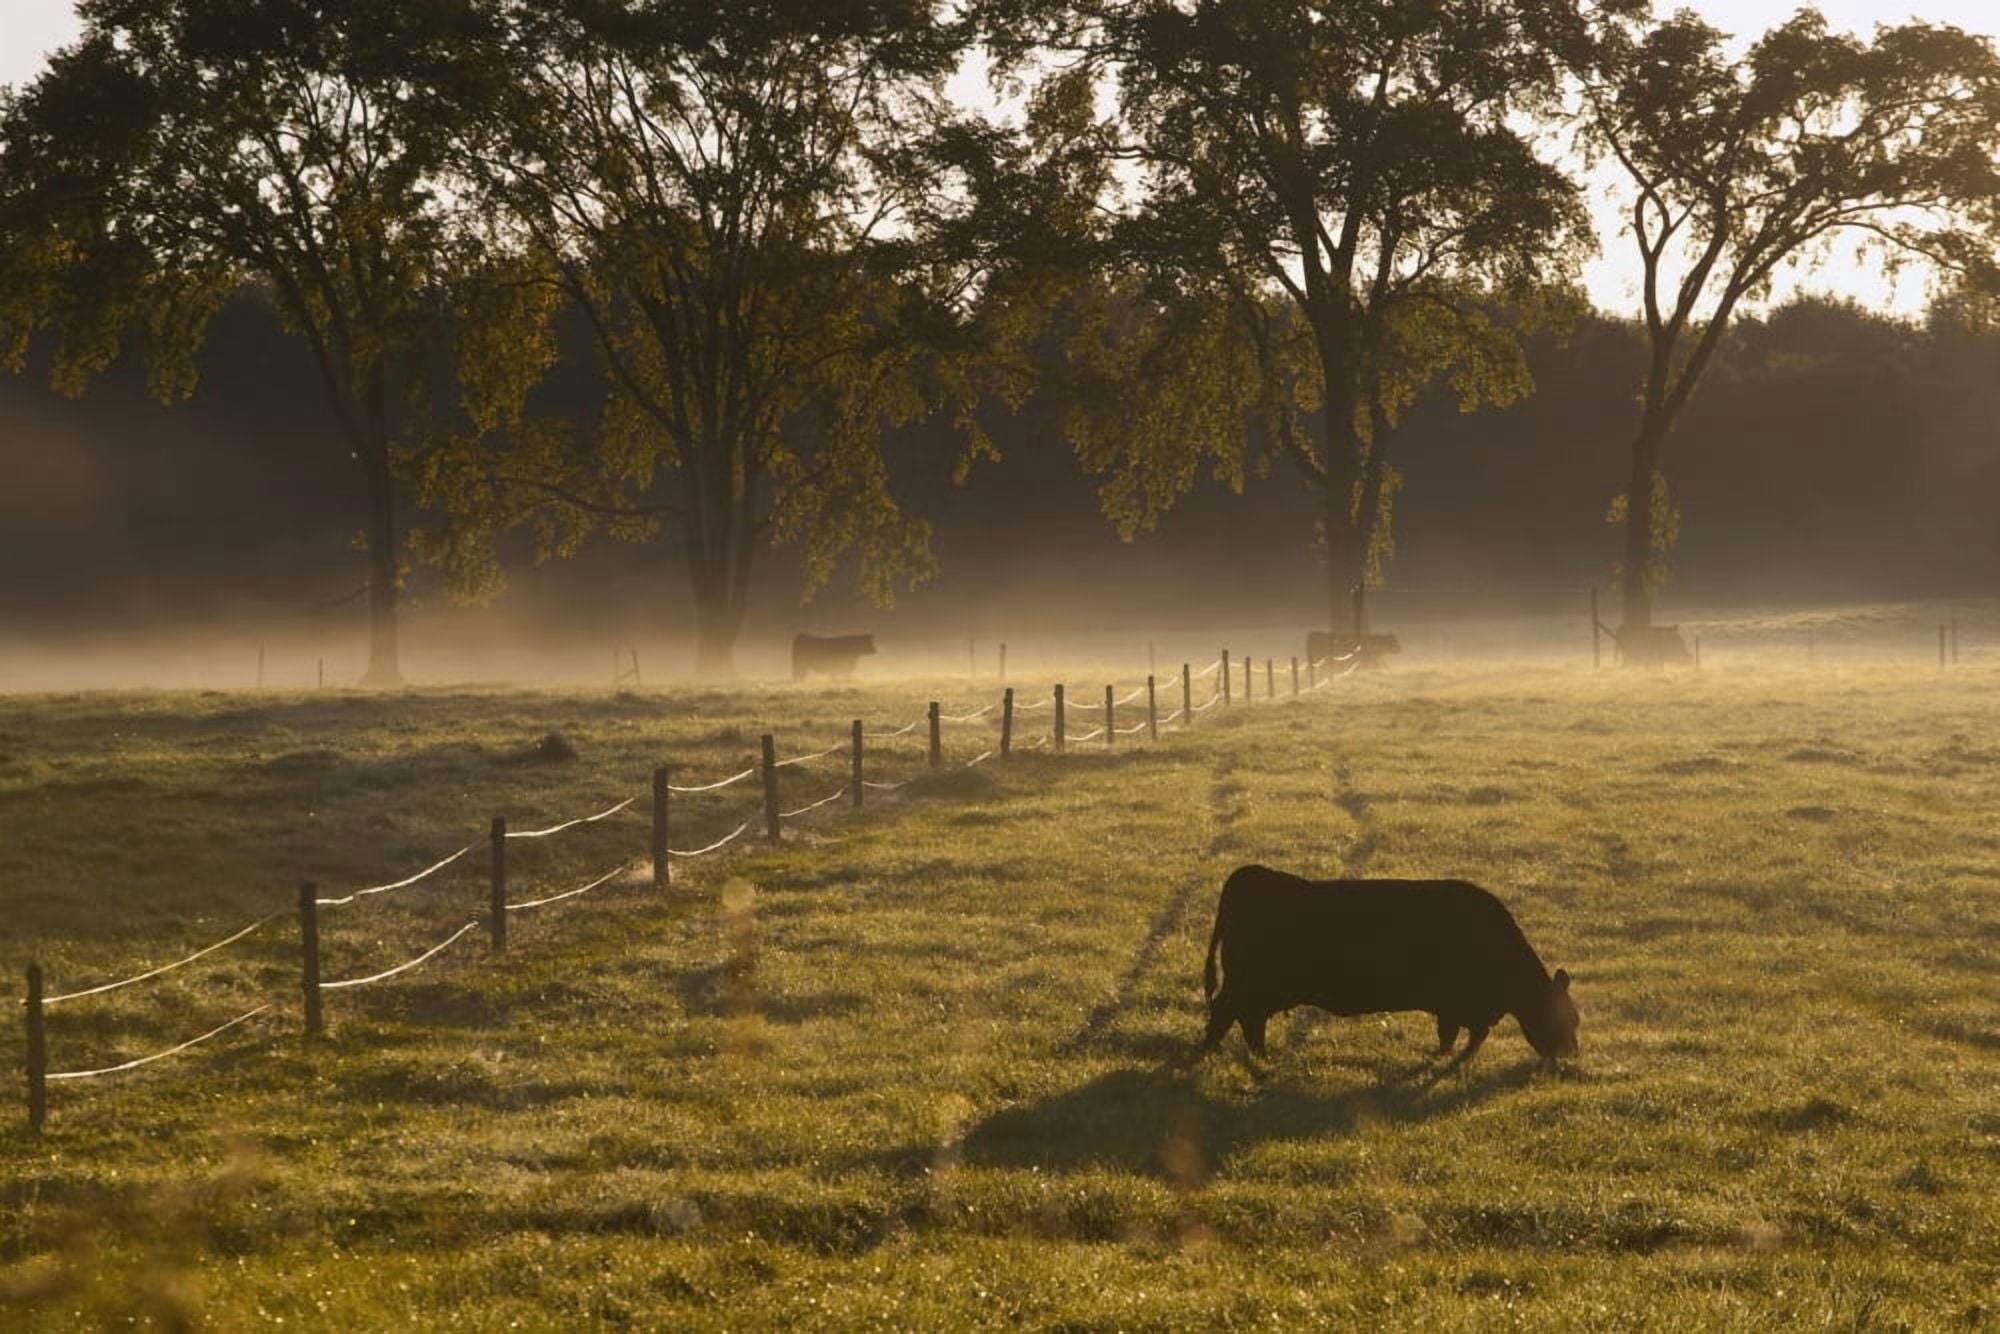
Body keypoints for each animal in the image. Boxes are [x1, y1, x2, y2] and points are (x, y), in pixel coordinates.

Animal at [1202, 865, 1578, 1066]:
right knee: (1226, 1013)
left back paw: (1256, 1058)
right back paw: (1216, 1053)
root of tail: (1250, 873)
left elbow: (1458, 1037)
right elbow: (1461, 1037)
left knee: (1246, 1020)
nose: (1570, 1054)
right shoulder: (1458, 1006)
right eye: (1563, 1018)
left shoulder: (1461, 1009)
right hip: (1247, 984)